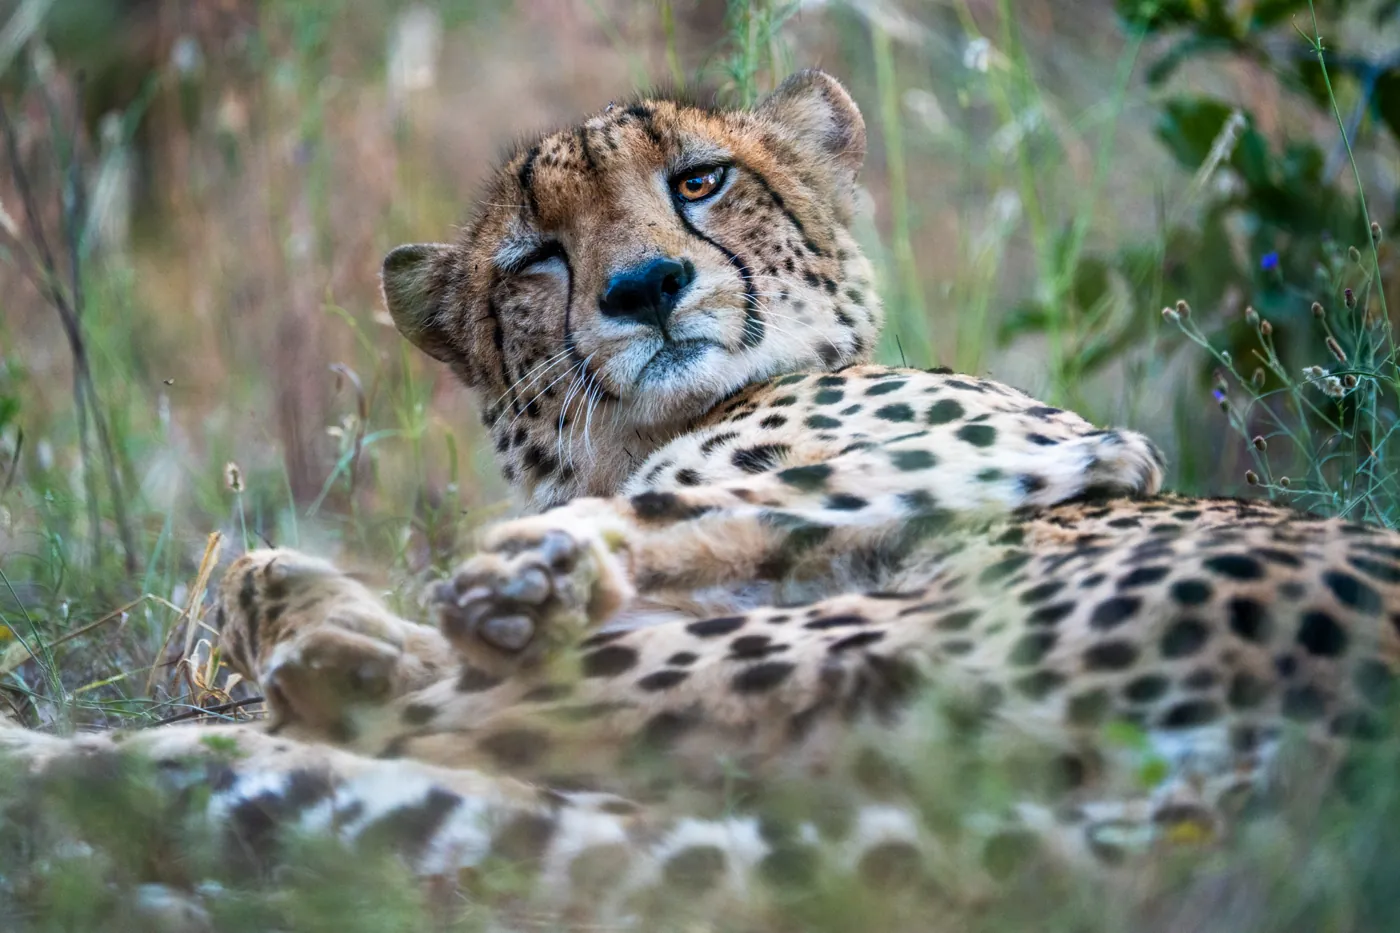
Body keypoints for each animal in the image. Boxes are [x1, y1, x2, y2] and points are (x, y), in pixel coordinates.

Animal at [3, 69, 1399, 928]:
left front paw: (506, 575)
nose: (646, 288)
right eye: (535, 256)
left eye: (698, 182)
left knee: (378, 730)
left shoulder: (1045, 443)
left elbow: (695, 514)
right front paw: (326, 593)